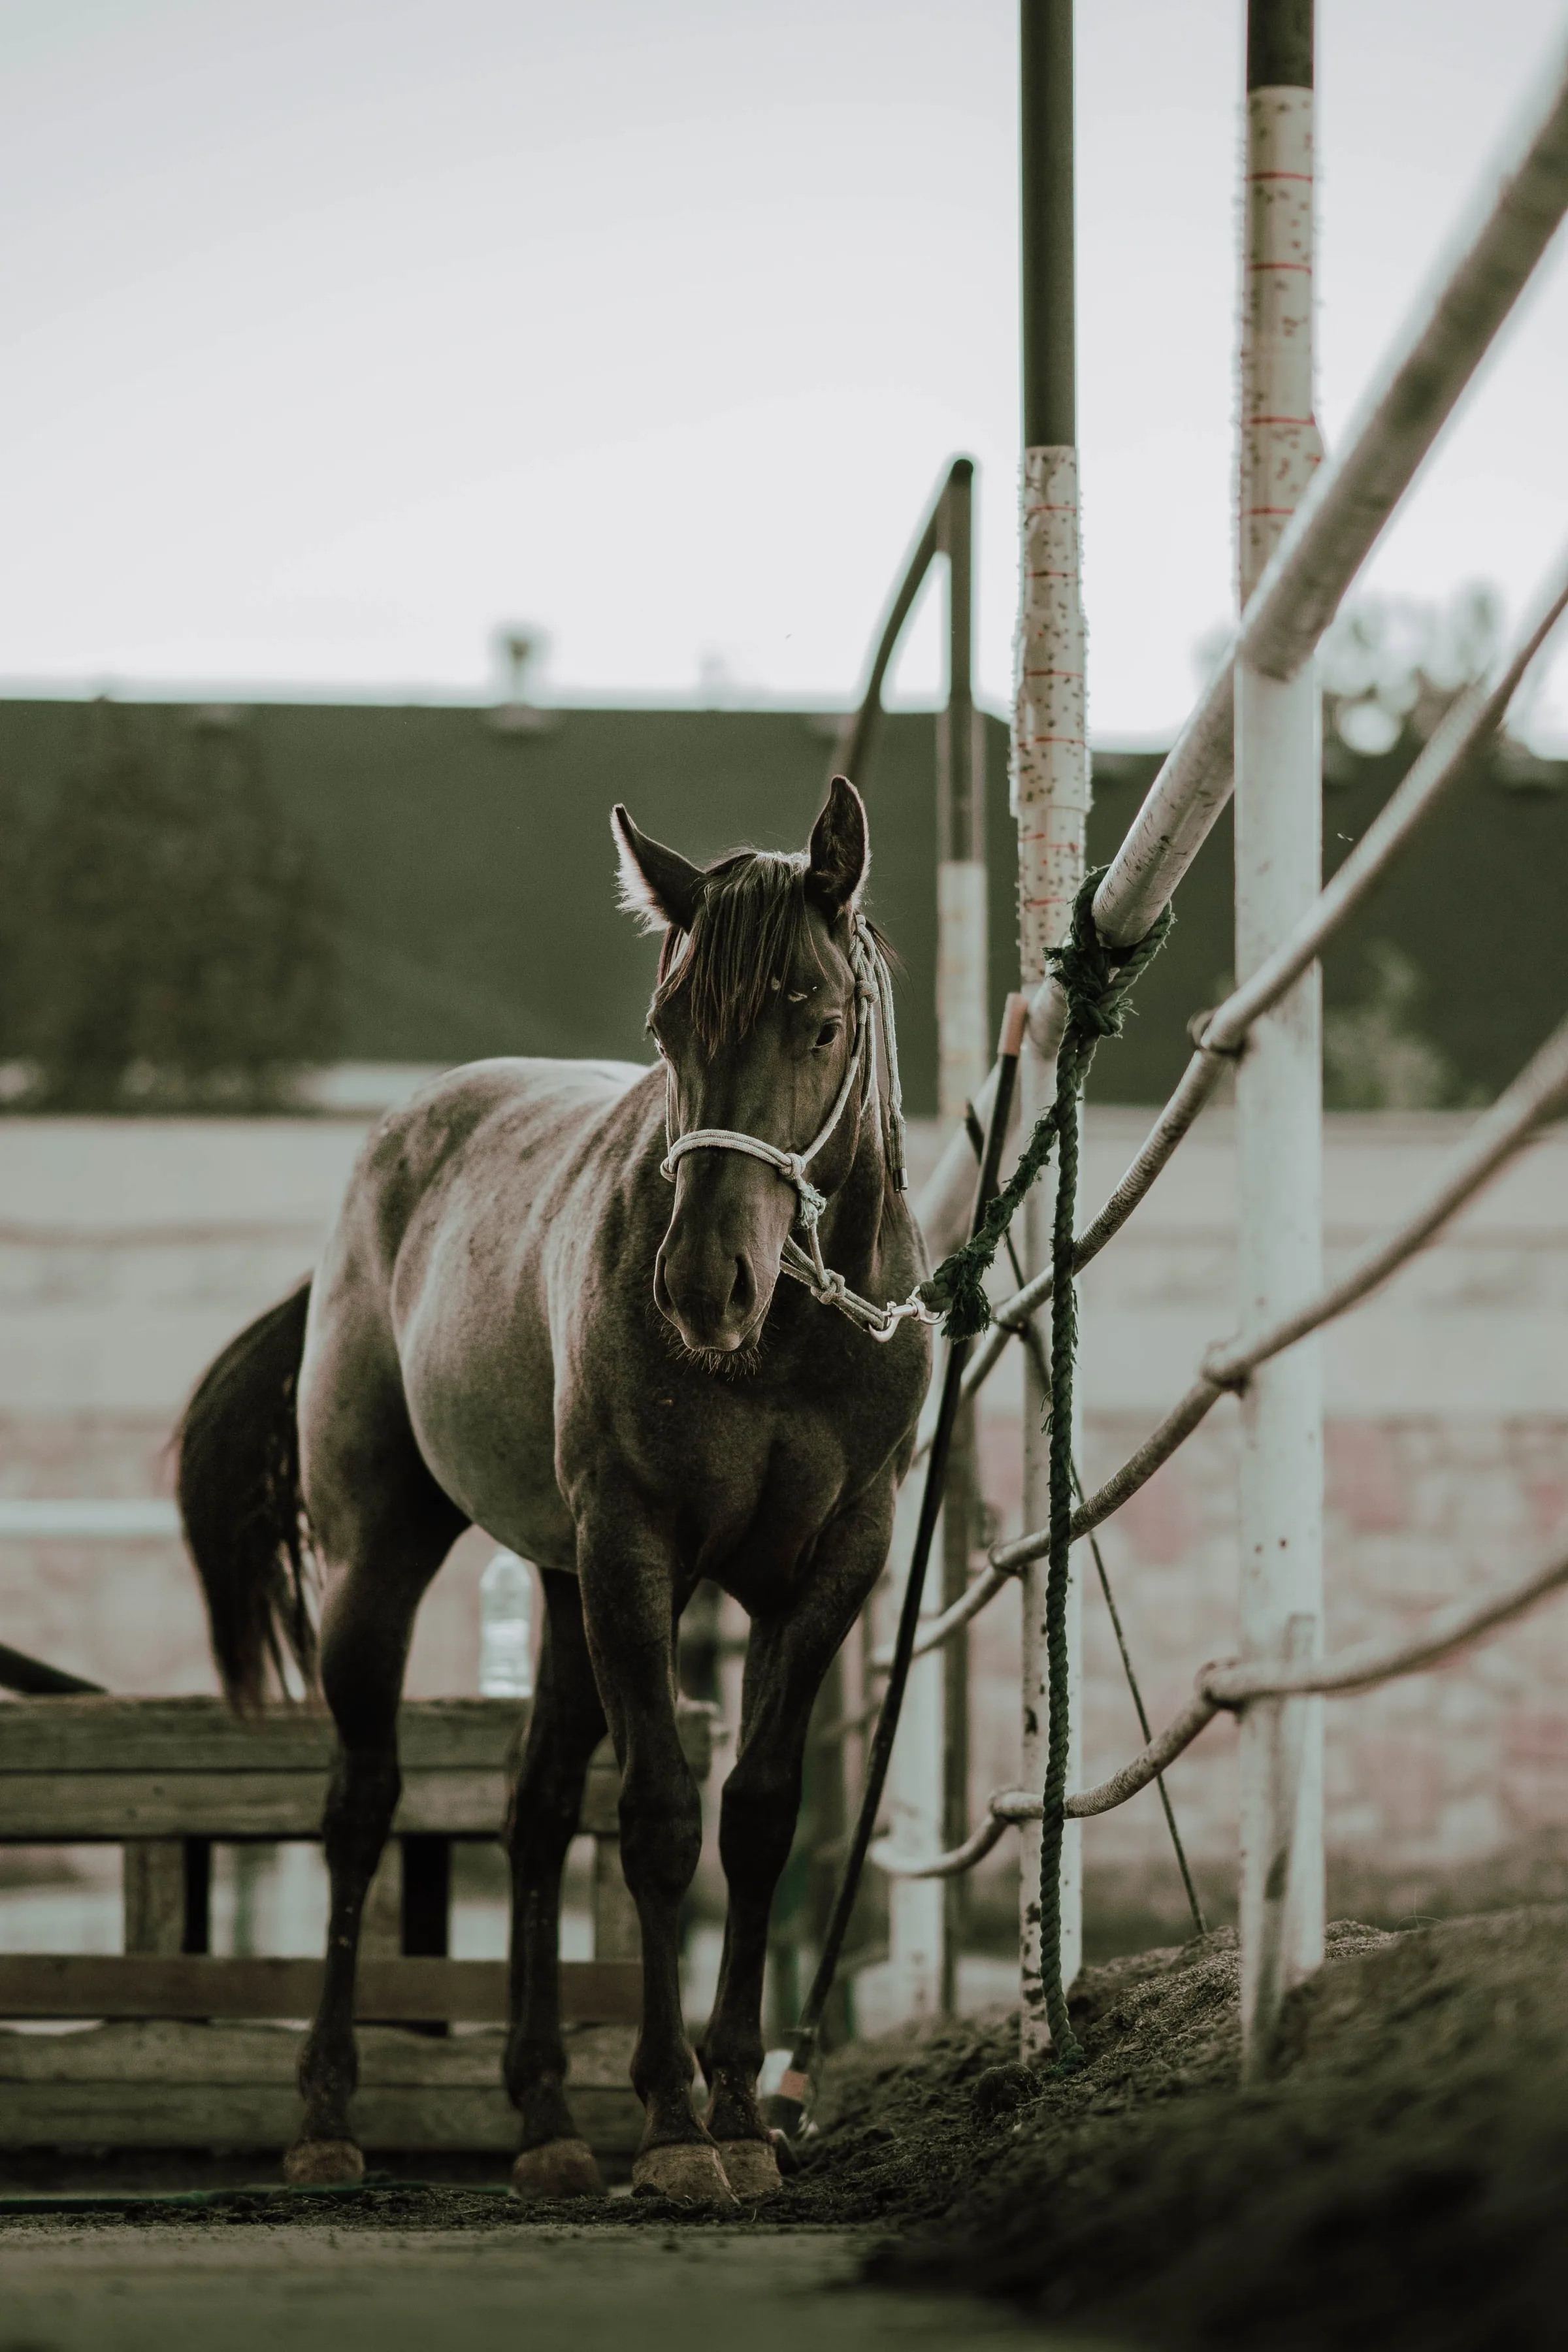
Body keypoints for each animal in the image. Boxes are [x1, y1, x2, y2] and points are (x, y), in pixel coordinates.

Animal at [174, 774, 932, 2205]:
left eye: (820, 1021)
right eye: (667, 1027)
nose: (701, 1287)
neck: (787, 1343)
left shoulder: (831, 1566)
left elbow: (757, 1816)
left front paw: (742, 2110)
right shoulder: (638, 1551)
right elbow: (657, 1819)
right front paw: (678, 2123)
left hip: (565, 1584)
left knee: (532, 1814)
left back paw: (545, 2117)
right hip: (385, 1561)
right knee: (361, 1807)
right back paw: (328, 2111)